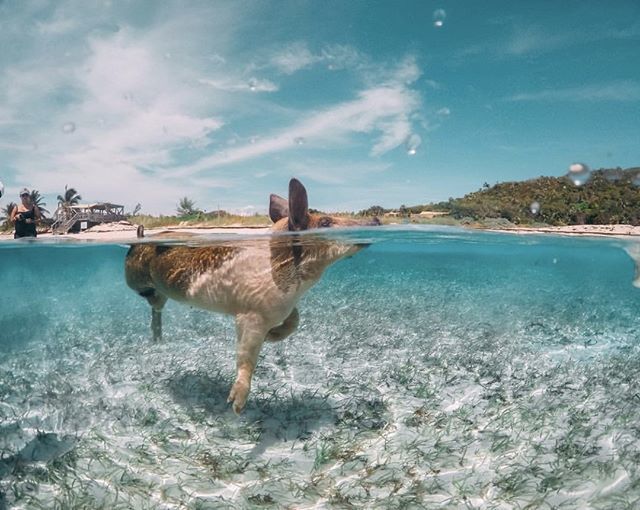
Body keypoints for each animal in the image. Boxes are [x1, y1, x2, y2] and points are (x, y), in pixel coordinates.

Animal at [123, 177, 378, 412]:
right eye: (325, 221)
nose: (375, 220)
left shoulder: (284, 306)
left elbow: (295, 320)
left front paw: (271, 337)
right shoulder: (251, 315)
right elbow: (247, 353)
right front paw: (236, 407)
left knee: (157, 307)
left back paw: (158, 340)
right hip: (135, 276)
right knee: (148, 299)